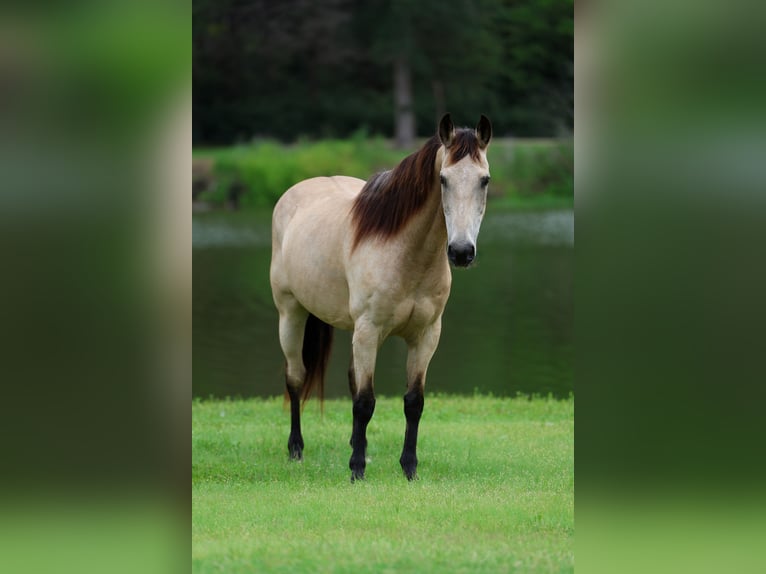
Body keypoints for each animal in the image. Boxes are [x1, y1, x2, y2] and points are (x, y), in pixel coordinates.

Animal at [270, 114, 492, 481]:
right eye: (443, 179)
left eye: (484, 180)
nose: (461, 252)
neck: (404, 253)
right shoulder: (369, 330)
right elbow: (365, 402)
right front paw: (357, 471)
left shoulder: (425, 336)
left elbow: (413, 402)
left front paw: (409, 468)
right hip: (292, 315)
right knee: (296, 377)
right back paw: (296, 449)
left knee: (348, 378)